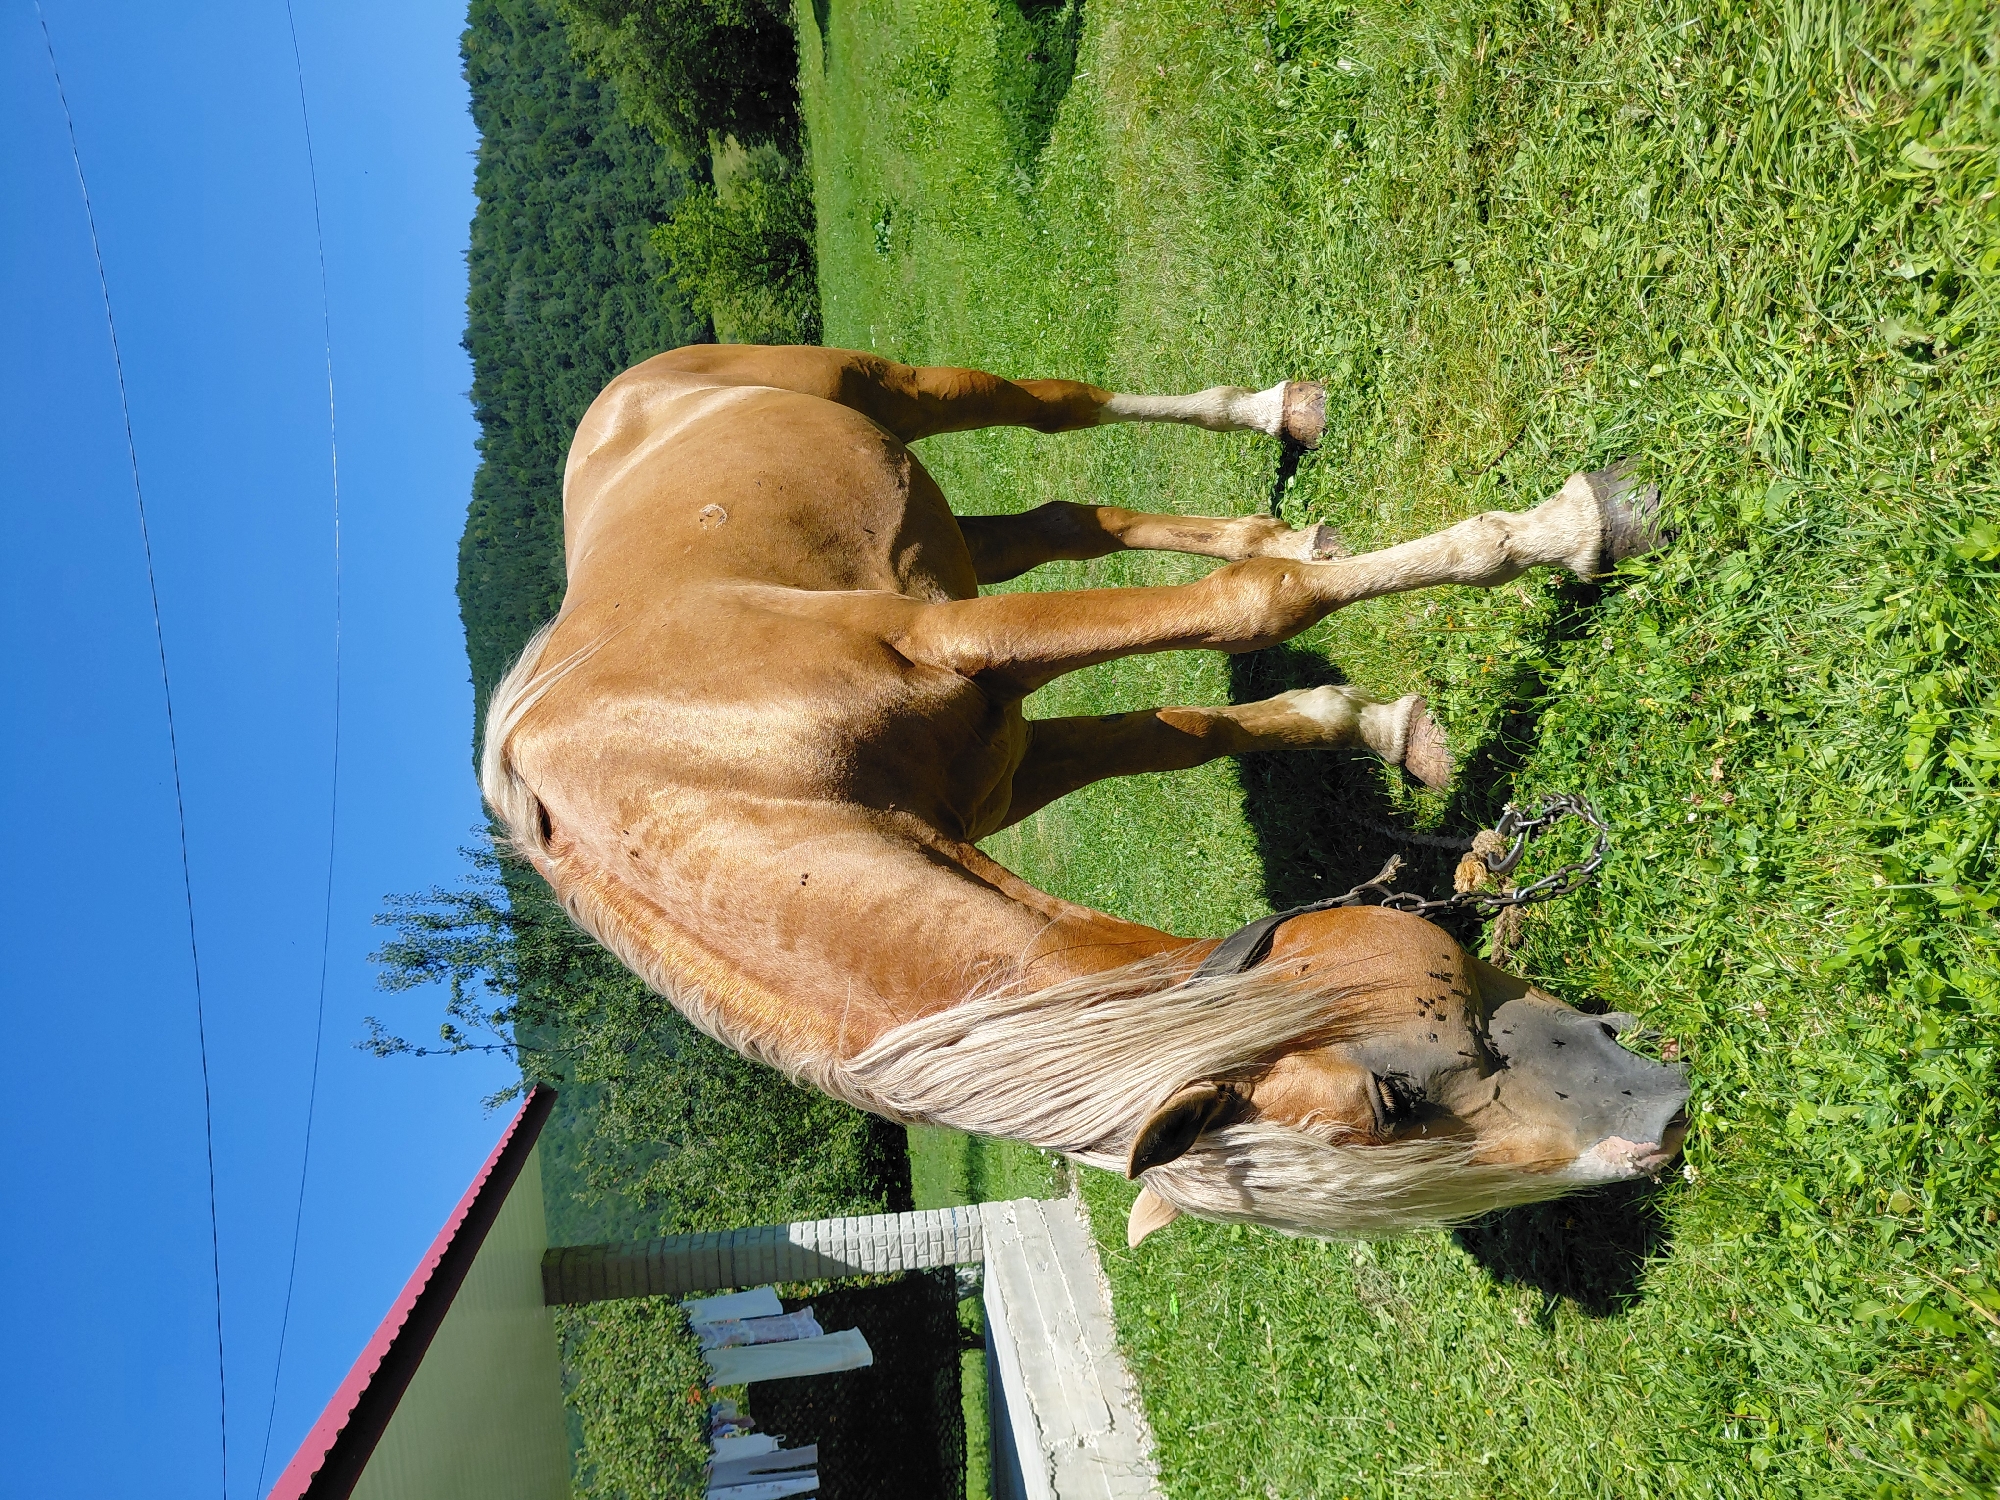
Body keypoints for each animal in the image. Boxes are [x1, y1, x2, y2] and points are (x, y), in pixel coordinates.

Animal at [481, 344, 1688, 1245]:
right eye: (1396, 1103)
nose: (1661, 1121)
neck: (719, 772)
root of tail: (623, 394)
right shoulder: (1011, 760)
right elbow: (1188, 723)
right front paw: (1378, 722)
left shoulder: (961, 642)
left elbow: (1252, 606)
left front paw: (1572, 526)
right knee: (1066, 519)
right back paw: (1280, 514)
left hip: (895, 391)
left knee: (1055, 415)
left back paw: (1280, 414)